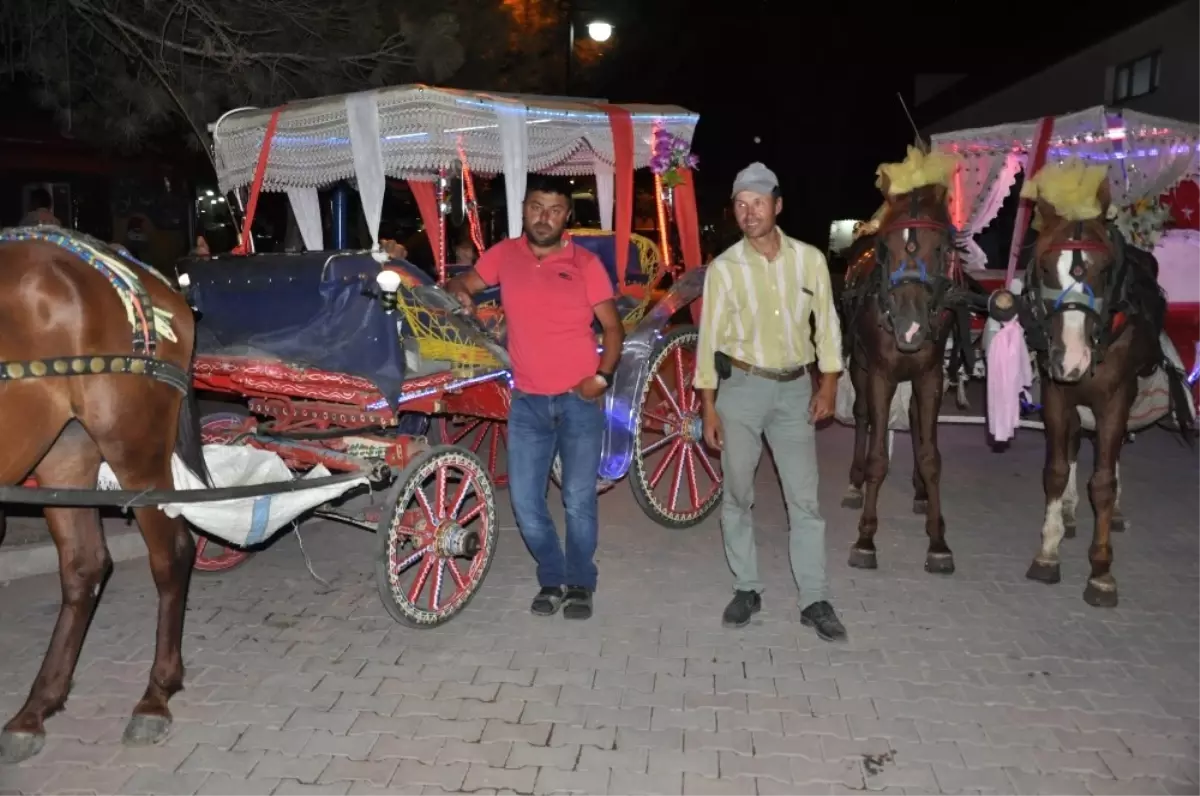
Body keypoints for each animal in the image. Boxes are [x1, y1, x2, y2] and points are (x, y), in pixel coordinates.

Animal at [0, 229, 208, 768]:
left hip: (134, 448)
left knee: (171, 554)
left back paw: (155, 695)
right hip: (64, 451)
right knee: (84, 566)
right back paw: (36, 707)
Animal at [835, 180, 974, 576]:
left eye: (940, 247)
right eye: (888, 249)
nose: (910, 328)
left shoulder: (929, 376)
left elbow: (930, 456)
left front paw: (938, 540)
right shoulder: (880, 375)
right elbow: (878, 457)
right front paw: (865, 538)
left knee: (912, 418)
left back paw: (921, 492)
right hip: (860, 365)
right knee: (862, 415)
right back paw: (855, 483)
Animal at [1017, 183, 1195, 607]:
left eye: (1101, 271)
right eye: (1045, 267)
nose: (1072, 359)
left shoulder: (1114, 401)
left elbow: (1103, 482)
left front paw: (1101, 572)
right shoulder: (1057, 397)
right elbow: (1056, 469)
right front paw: (1048, 551)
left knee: (1109, 459)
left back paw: (1110, 513)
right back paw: (1068, 511)